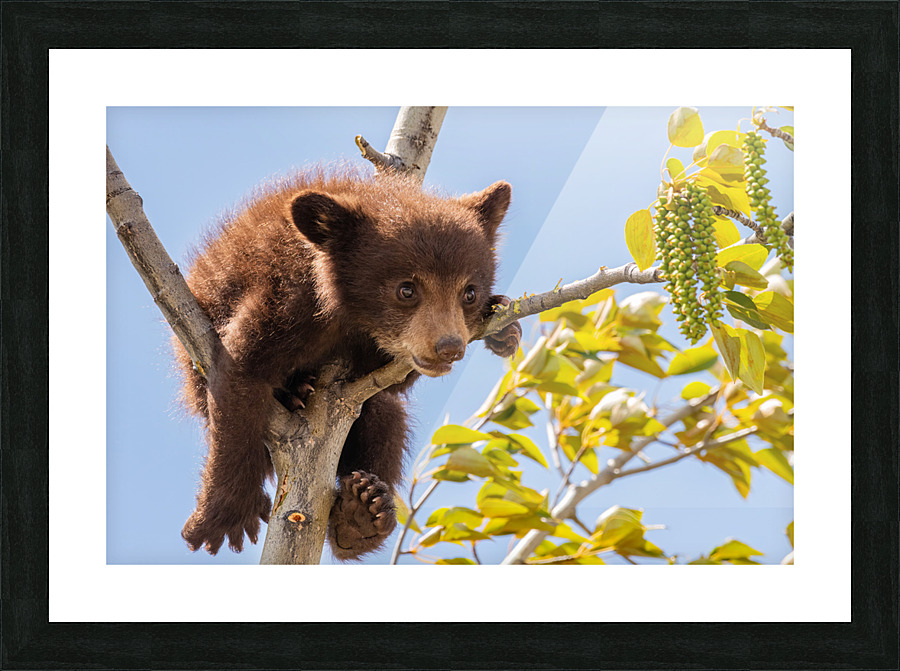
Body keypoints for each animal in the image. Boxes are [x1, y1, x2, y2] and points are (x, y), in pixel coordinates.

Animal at [174, 165, 522, 559]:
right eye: (406, 289)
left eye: (469, 292)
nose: (449, 347)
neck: (345, 315)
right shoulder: (283, 298)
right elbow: (240, 374)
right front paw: (223, 515)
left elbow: (392, 384)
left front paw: (503, 325)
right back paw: (296, 393)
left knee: (386, 416)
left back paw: (361, 516)